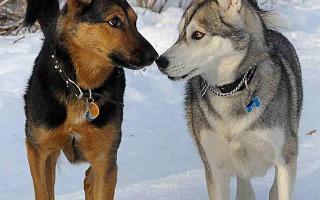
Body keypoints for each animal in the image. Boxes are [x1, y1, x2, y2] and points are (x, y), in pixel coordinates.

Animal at [23, 0, 158, 199]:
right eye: (114, 21)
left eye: (135, 22)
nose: (154, 56)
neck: (81, 89)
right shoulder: (38, 150)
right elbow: (43, 192)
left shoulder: (105, 159)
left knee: (89, 177)